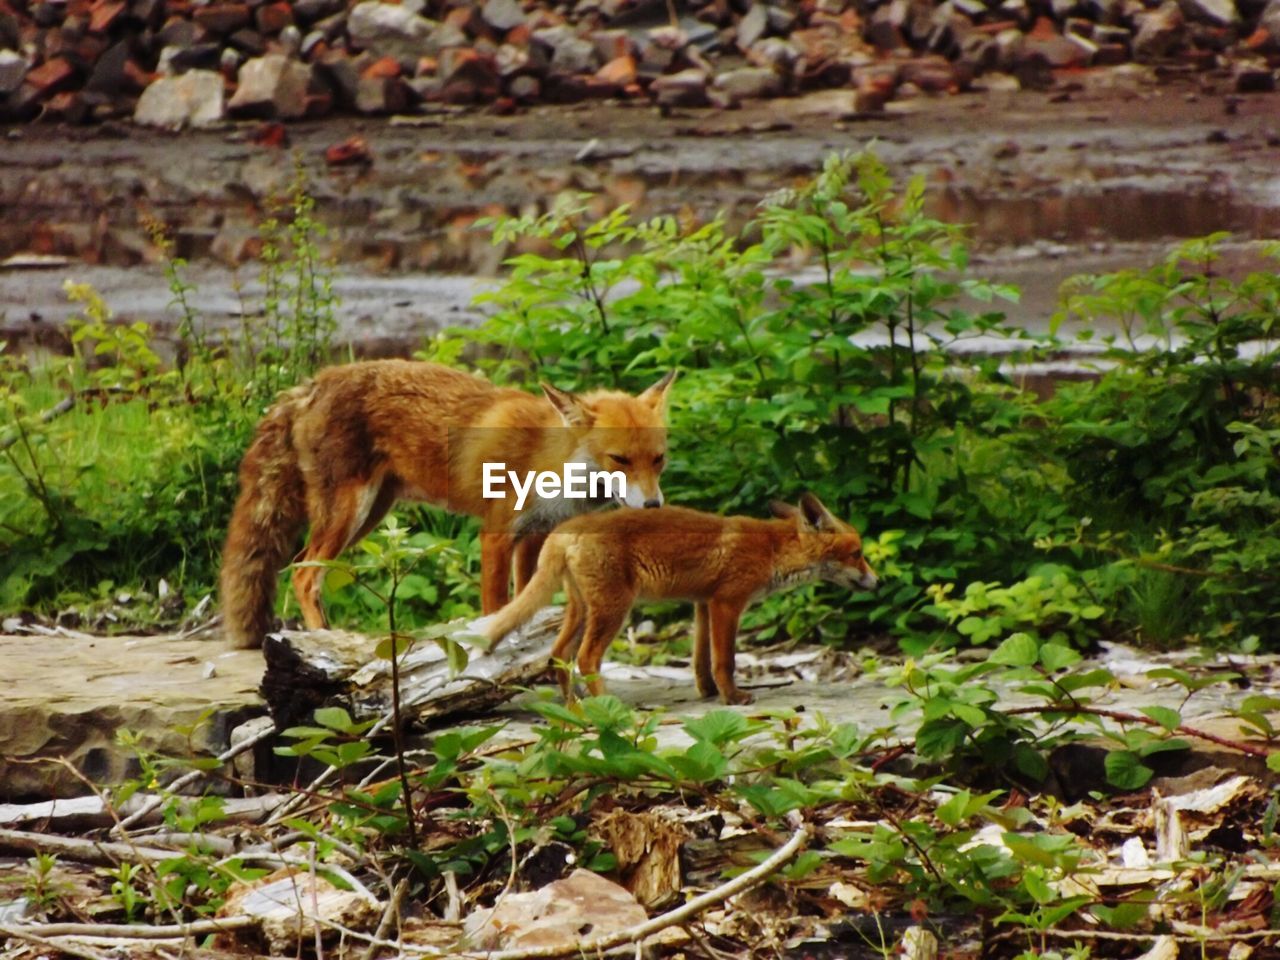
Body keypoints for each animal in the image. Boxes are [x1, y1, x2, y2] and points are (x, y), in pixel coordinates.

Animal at [220, 363, 675, 655]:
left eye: (658, 460)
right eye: (619, 460)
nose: (654, 505)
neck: (550, 459)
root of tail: (314, 381)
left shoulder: (535, 534)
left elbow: (525, 598)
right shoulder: (496, 532)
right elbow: (496, 604)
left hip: (369, 515)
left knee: (299, 566)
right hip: (349, 513)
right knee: (302, 574)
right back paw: (328, 642)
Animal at [473, 496, 880, 706]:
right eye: (857, 553)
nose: (879, 582)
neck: (772, 550)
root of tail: (564, 530)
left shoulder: (703, 605)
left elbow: (700, 661)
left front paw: (709, 693)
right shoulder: (727, 603)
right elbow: (725, 660)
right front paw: (733, 697)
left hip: (582, 609)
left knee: (558, 656)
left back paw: (575, 708)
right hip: (614, 609)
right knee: (587, 658)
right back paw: (609, 708)